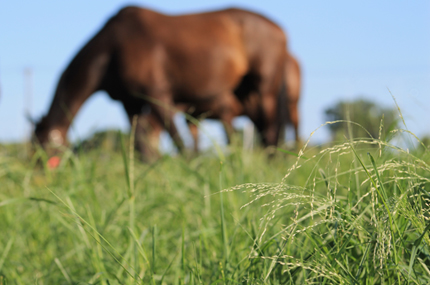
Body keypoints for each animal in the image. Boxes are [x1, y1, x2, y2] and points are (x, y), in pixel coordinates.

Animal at [33, 6, 288, 160]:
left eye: (42, 149)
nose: (39, 178)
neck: (113, 50)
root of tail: (280, 29)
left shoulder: (157, 95)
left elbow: (178, 141)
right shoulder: (130, 103)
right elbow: (141, 146)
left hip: (264, 88)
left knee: (272, 129)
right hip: (245, 93)